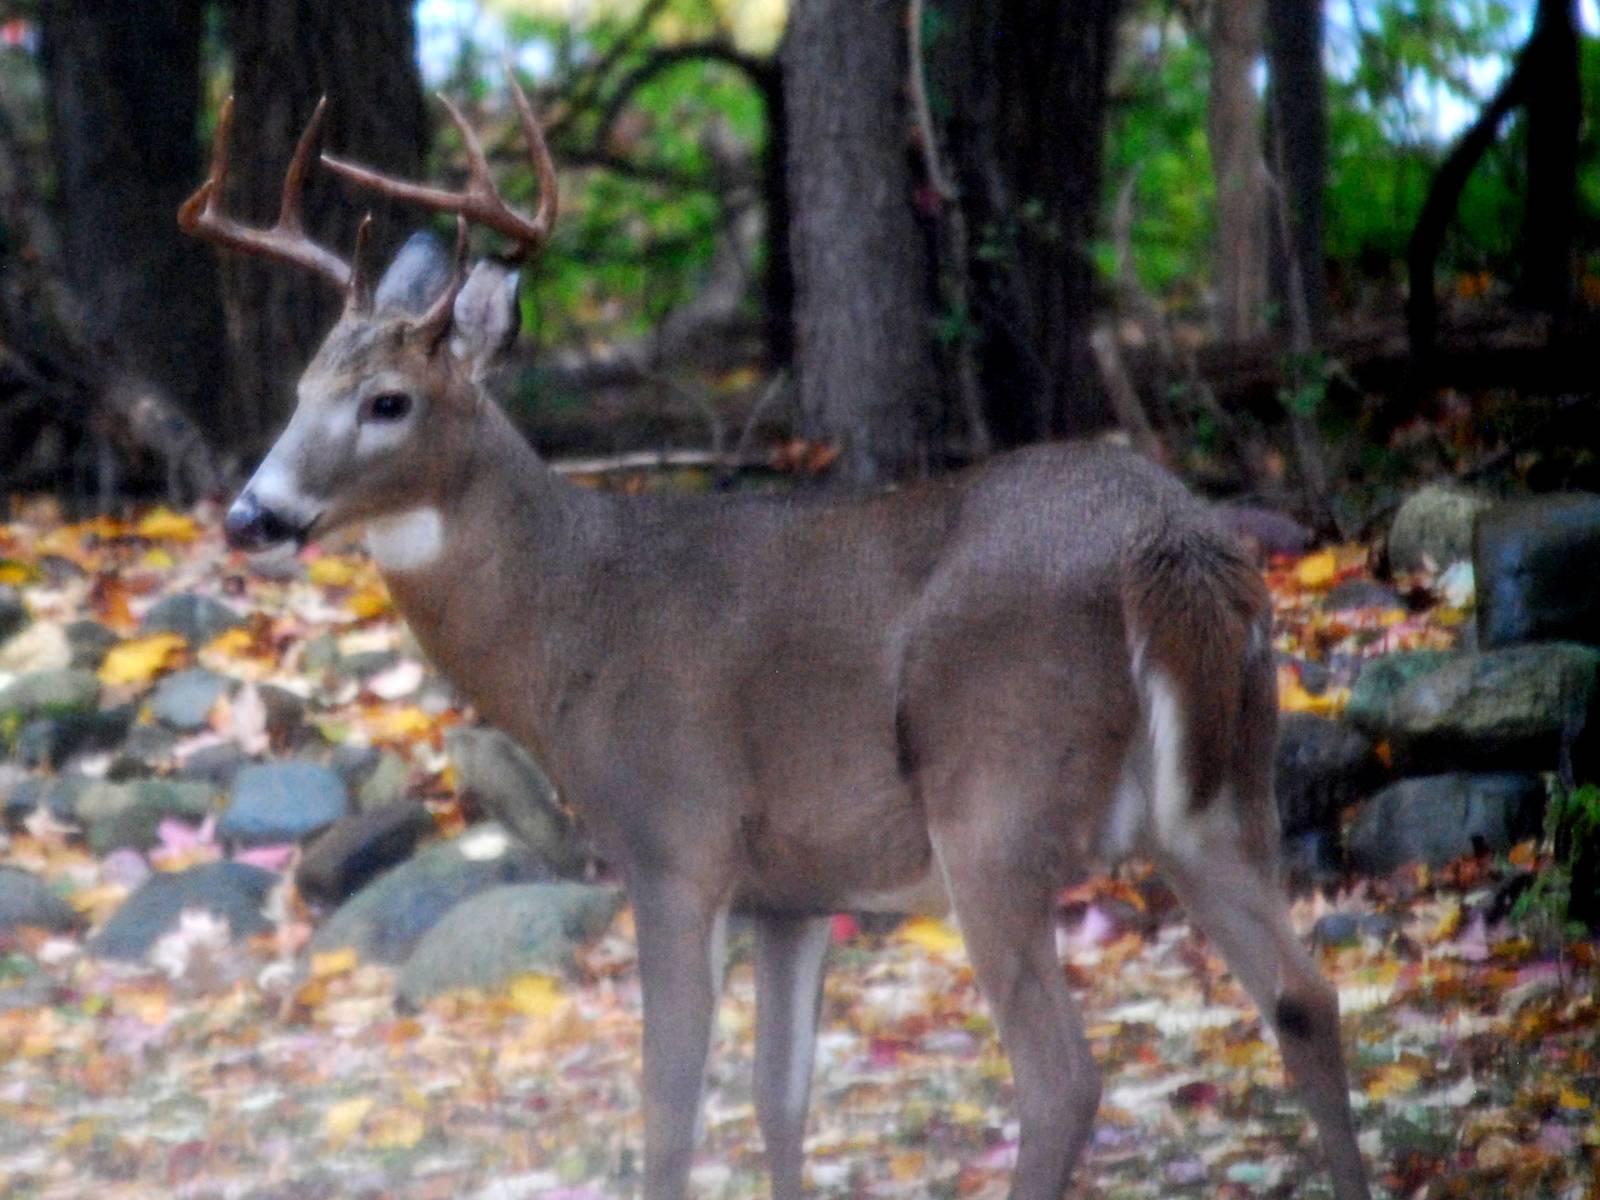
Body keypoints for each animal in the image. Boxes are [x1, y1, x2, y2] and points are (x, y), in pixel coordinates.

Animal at [179, 74, 1371, 1200]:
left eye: (387, 401)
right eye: (301, 388)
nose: (252, 515)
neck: (576, 625)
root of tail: (1170, 544)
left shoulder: (676, 839)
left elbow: (669, 1113)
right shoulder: (795, 888)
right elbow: (779, 1101)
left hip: (997, 793)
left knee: (1063, 1078)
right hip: (1226, 795)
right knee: (1306, 998)